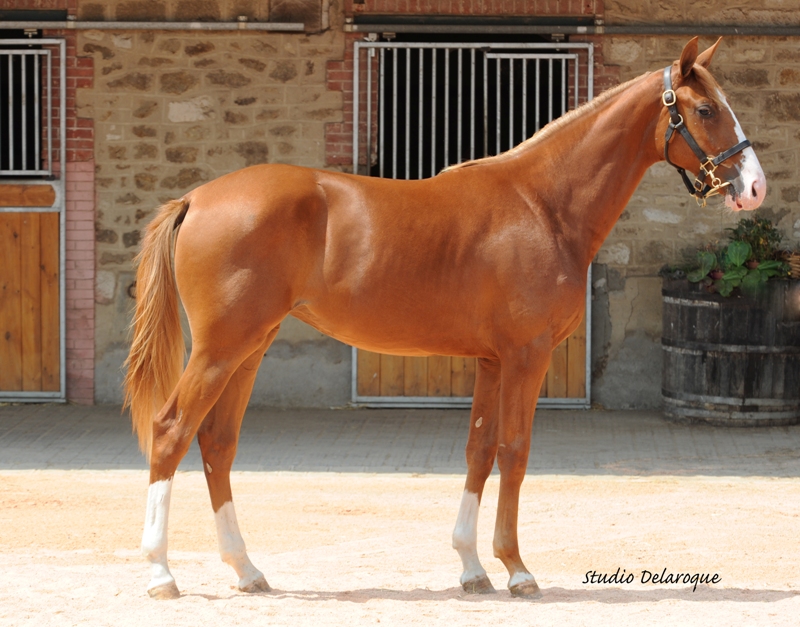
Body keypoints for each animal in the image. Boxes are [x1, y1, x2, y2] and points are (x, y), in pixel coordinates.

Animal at [124, 37, 765, 599]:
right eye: (705, 109)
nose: (754, 188)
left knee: (217, 442)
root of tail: (198, 198)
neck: (542, 205)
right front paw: (517, 570)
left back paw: (246, 570)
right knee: (171, 431)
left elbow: (478, 451)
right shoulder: (526, 356)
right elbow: (514, 449)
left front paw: (472, 568)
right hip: (220, 350)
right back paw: (159, 575)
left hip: (250, 348)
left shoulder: (491, 360)